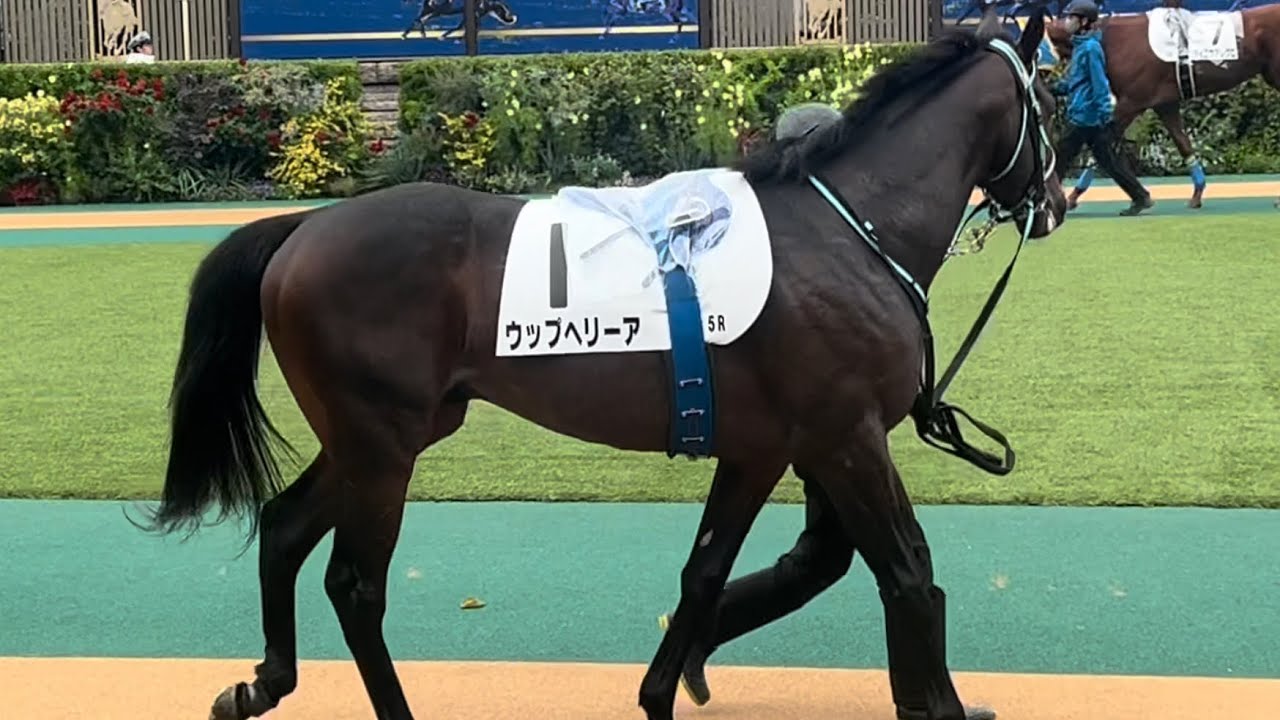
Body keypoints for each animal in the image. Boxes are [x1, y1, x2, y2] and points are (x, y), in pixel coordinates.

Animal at [139, 6, 1065, 720]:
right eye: (1052, 101)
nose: (1056, 200)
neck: (850, 229)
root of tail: (302, 227)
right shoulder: (847, 438)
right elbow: (909, 569)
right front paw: (941, 703)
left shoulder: (762, 448)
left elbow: (705, 572)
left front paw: (665, 688)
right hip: (382, 442)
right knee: (356, 585)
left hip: (387, 432)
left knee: (285, 526)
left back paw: (261, 684)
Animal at [1045, 2, 1280, 208]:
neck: (1114, 40)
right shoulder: (1164, 104)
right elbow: (1183, 143)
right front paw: (1197, 194)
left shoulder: (1131, 103)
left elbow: (1100, 147)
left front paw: (1073, 196)